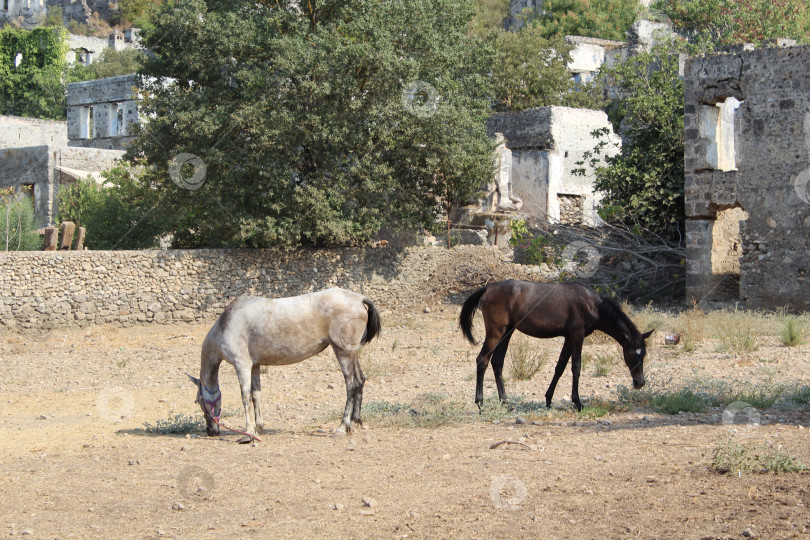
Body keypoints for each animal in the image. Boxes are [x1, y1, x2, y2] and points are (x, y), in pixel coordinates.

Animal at [188, 288, 380, 440]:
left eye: (198, 401)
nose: (211, 431)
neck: (226, 325)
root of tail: (359, 298)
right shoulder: (255, 366)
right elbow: (256, 394)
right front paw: (259, 427)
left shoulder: (242, 365)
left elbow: (245, 396)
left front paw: (248, 433)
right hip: (352, 353)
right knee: (360, 380)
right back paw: (355, 421)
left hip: (343, 352)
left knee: (351, 385)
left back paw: (342, 426)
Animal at [458, 280, 652, 412]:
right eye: (631, 354)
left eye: (644, 354)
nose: (639, 382)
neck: (591, 303)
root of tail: (488, 288)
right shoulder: (577, 336)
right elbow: (576, 367)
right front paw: (578, 402)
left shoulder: (568, 339)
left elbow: (560, 368)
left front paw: (548, 399)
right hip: (495, 333)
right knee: (482, 360)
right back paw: (480, 403)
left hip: (507, 332)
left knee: (497, 363)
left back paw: (505, 402)